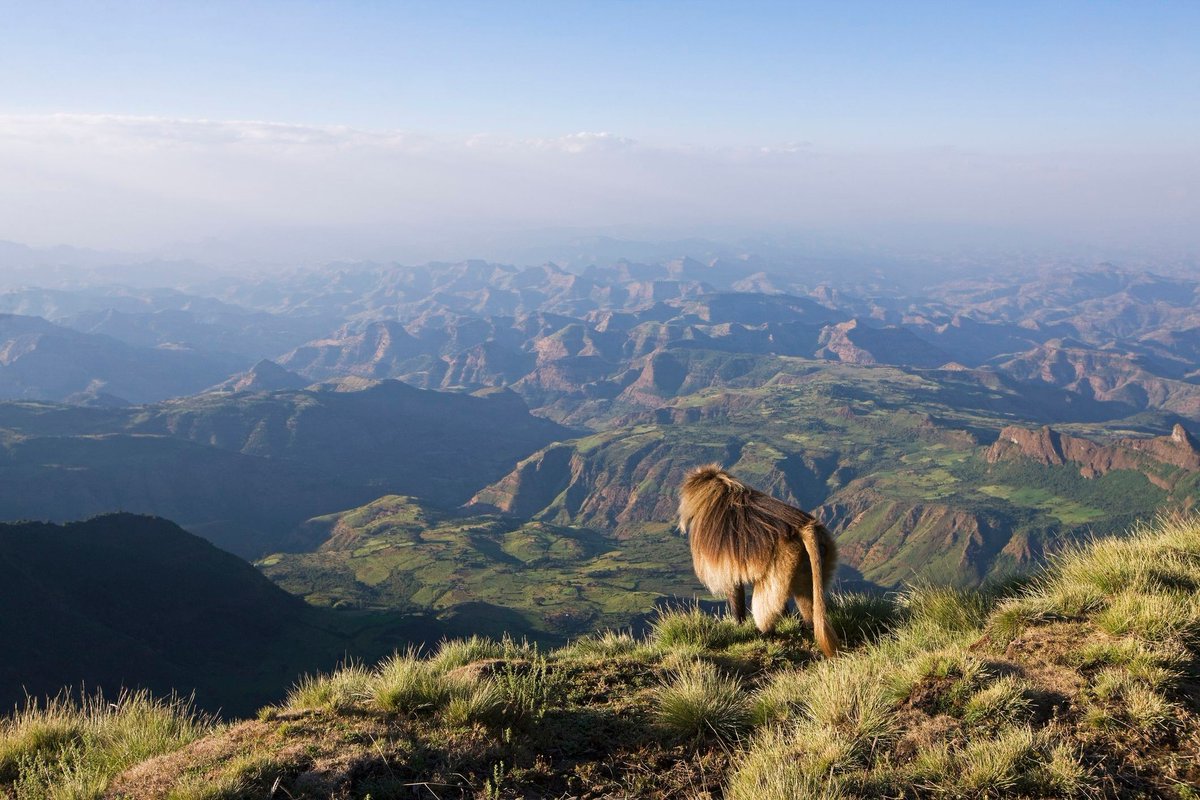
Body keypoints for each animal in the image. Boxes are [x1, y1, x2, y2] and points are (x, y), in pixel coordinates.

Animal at [677, 464, 840, 657]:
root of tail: (803, 527)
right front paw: (786, 618)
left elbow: (733, 585)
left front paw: (738, 625)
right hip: (820, 554)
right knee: (805, 596)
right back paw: (807, 628)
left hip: (784, 559)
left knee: (766, 598)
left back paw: (765, 633)